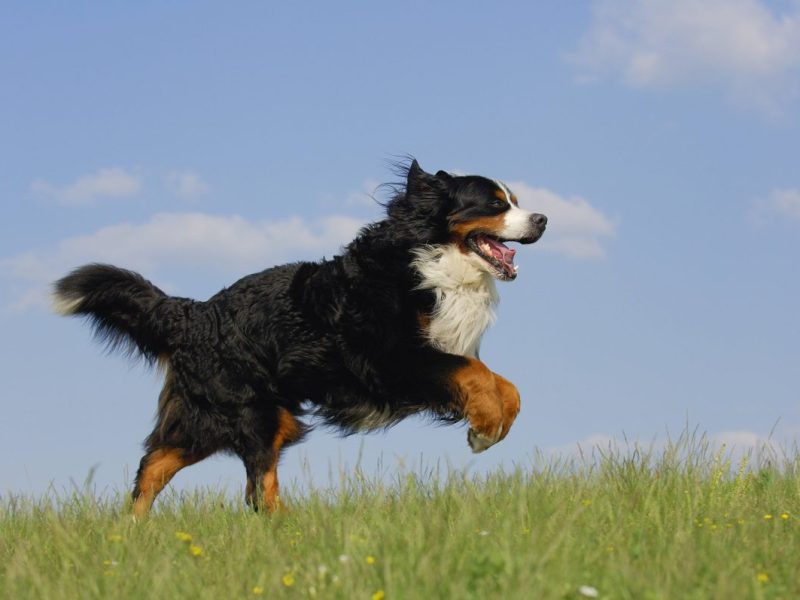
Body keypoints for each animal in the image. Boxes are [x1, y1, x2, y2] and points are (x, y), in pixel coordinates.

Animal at [53, 161, 548, 516]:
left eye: (516, 201)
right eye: (495, 204)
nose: (543, 218)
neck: (433, 263)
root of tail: (194, 313)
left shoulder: (438, 350)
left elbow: (507, 386)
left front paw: (489, 429)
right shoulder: (395, 359)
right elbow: (474, 373)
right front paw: (485, 428)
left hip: (220, 417)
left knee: (155, 464)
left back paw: (131, 529)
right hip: (251, 411)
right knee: (256, 490)